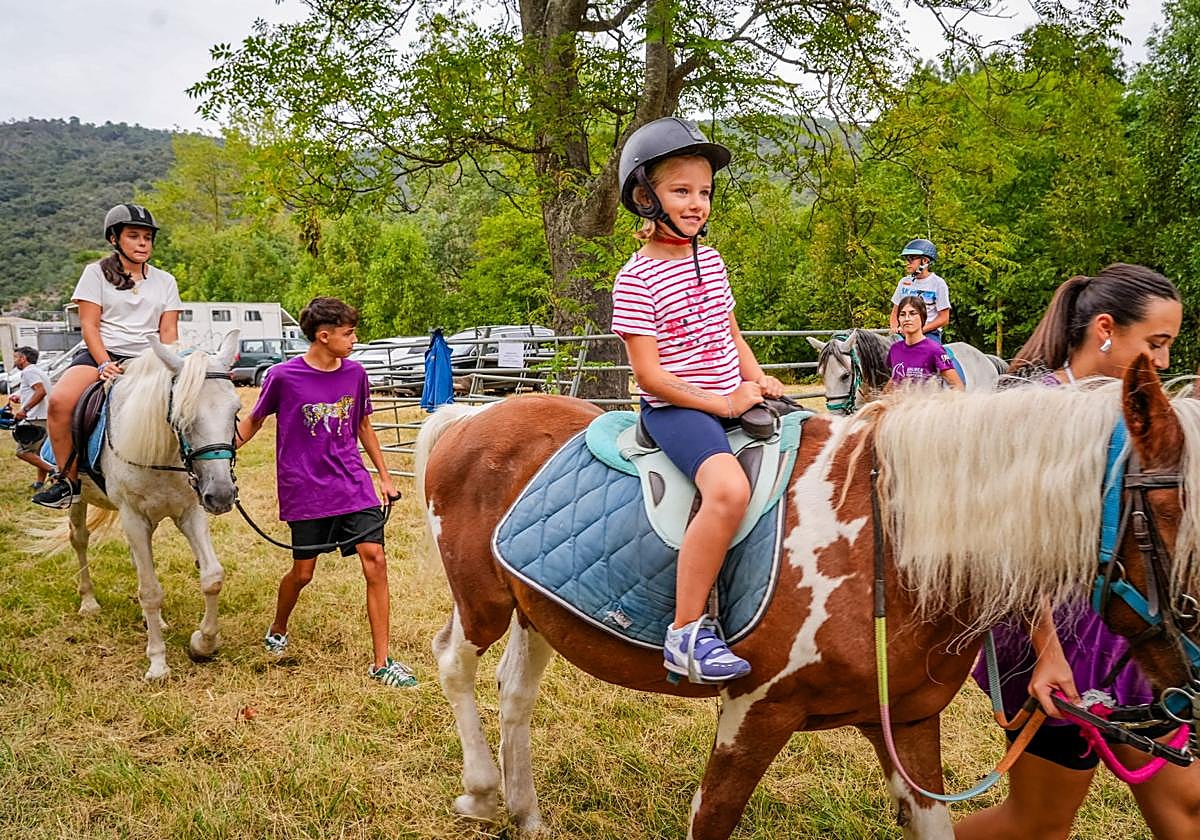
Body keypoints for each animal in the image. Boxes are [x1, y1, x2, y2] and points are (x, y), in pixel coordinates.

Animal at [38, 333, 242, 680]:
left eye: (236, 411)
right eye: (180, 416)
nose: (222, 494)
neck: (164, 455)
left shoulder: (190, 512)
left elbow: (212, 576)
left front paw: (203, 643)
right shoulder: (133, 517)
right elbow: (149, 591)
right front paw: (158, 663)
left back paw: (154, 622)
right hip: (80, 500)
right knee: (79, 540)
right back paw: (89, 603)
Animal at [414, 356, 1200, 839]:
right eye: (1173, 523)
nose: (1187, 698)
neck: (887, 539)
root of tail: (468, 419)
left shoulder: (908, 726)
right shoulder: (754, 713)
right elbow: (710, 818)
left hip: (538, 611)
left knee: (515, 690)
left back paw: (525, 810)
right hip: (484, 601)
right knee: (453, 659)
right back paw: (481, 792)